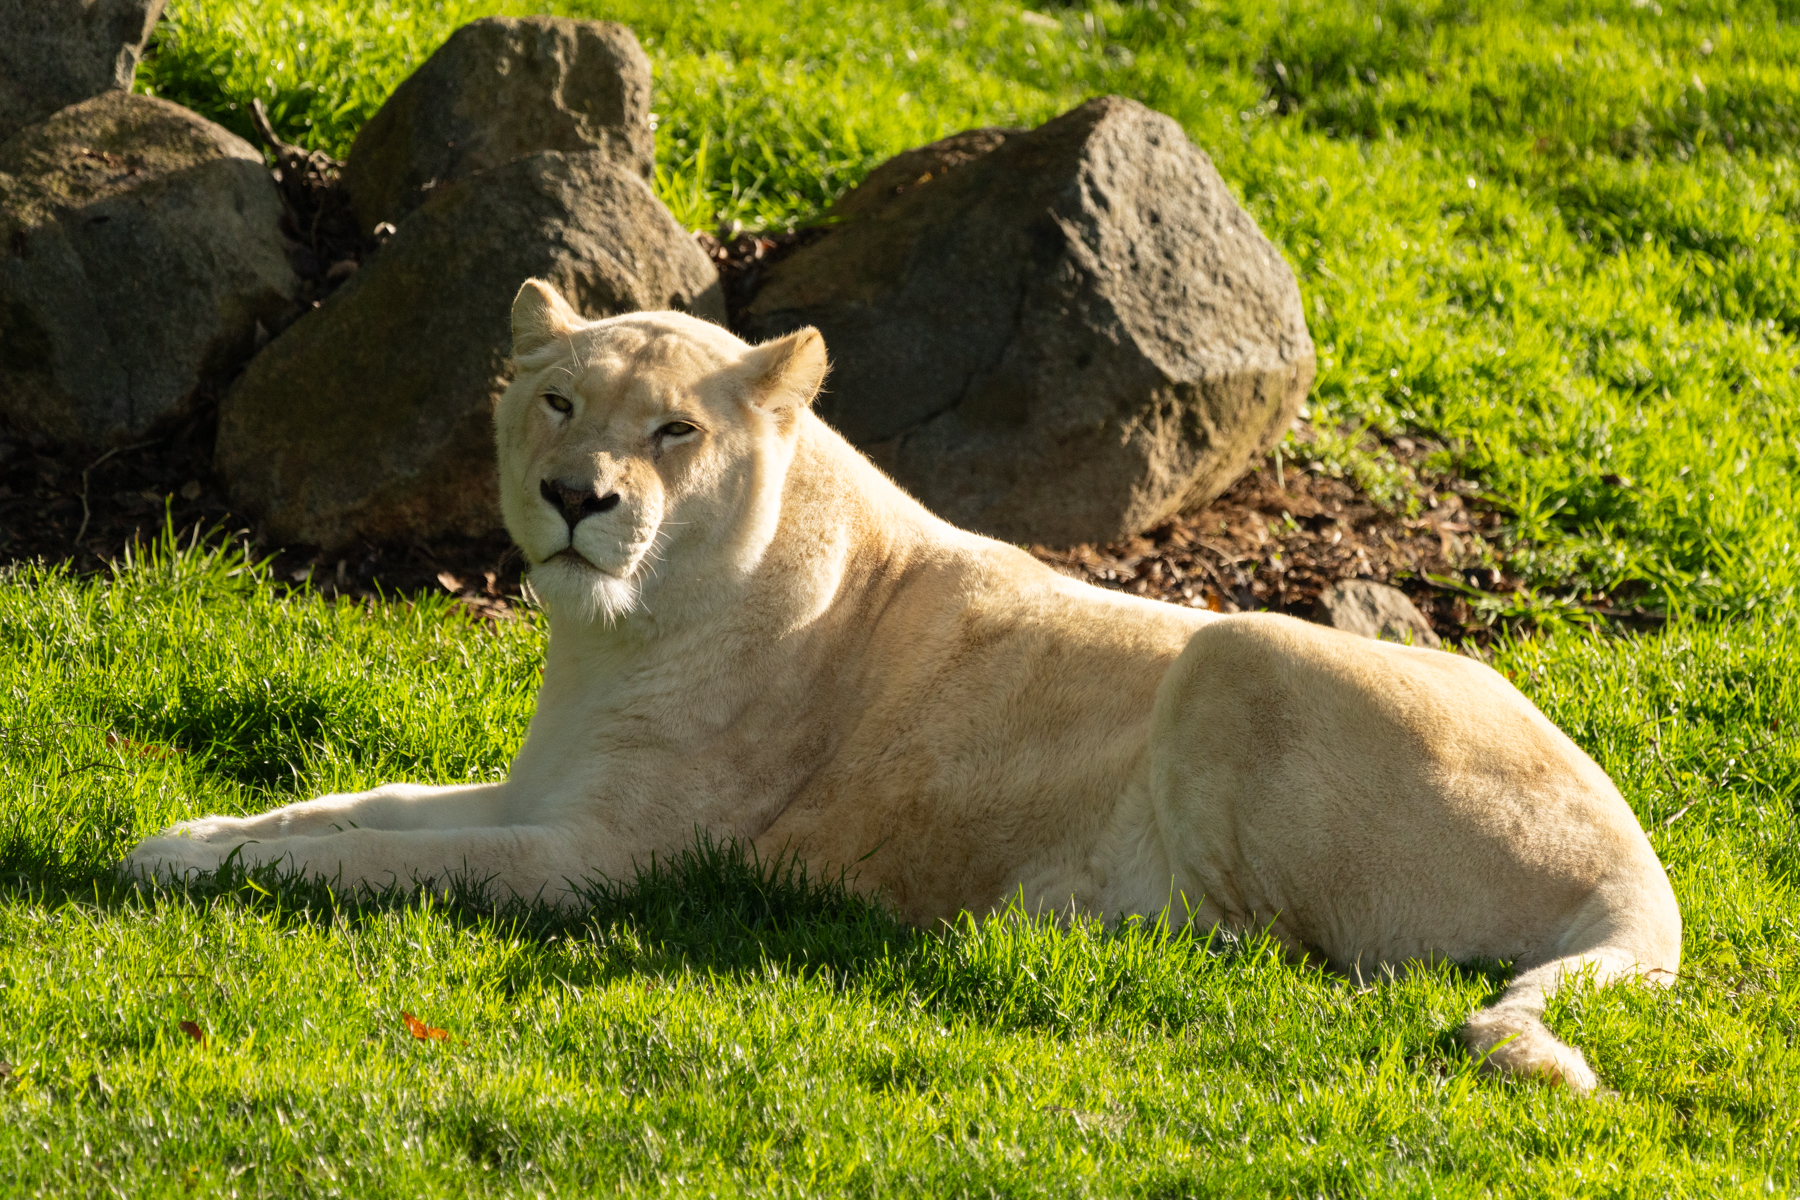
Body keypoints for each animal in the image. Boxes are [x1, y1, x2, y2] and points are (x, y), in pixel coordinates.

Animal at [125, 278, 1682, 1093]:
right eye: (556, 403)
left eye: (674, 432)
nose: (576, 498)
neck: (618, 629)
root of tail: (1642, 872)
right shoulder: (535, 792)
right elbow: (358, 806)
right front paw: (182, 839)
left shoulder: (599, 862)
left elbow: (383, 862)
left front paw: (189, 876)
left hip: (1240, 644)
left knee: (1260, 947)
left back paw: (1033, 918)